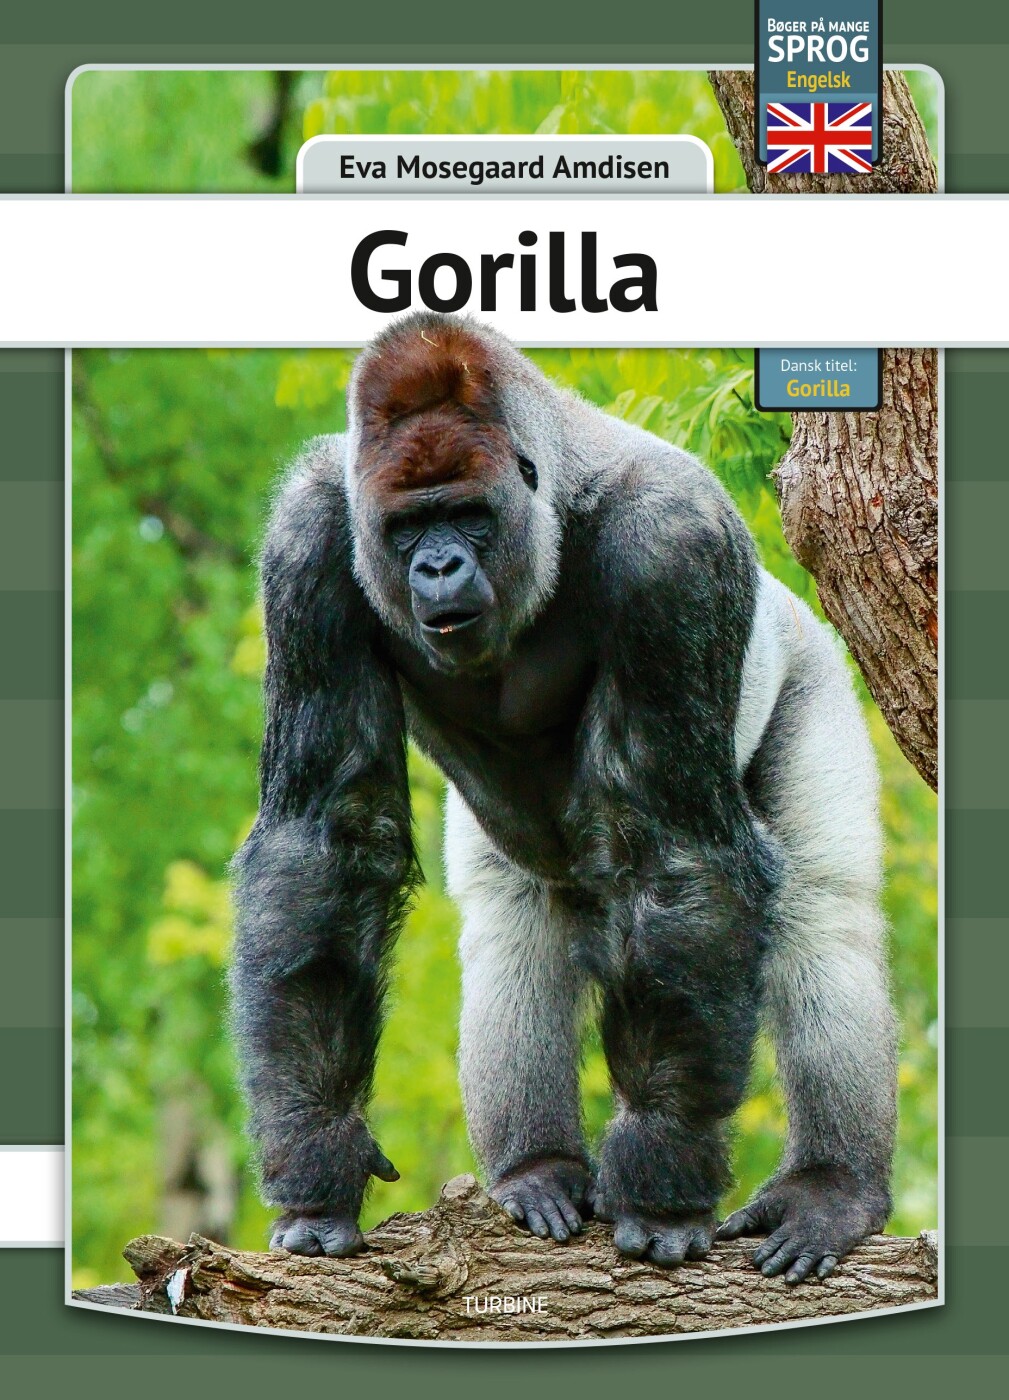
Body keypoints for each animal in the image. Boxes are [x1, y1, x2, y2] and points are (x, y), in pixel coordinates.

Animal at [230, 311, 897, 1284]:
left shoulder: (673, 545)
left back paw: (830, 1187)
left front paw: (661, 1182)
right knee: (513, 927)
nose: (437, 567)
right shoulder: (309, 540)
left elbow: (675, 854)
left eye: (468, 515)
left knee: (822, 913)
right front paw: (319, 1158)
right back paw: (534, 1170)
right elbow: (323, 843)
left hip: (808, 660)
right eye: (407, 527)